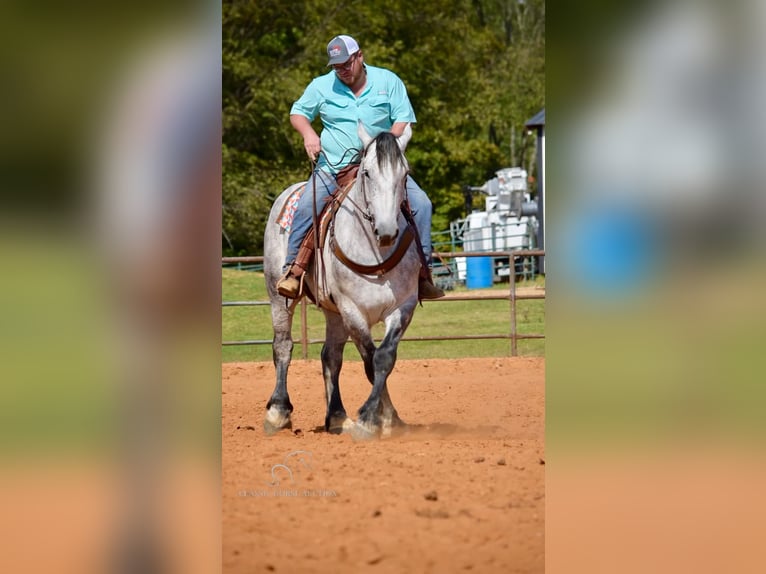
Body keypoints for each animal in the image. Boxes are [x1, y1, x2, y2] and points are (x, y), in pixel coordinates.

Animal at [262, 122, 420, 440]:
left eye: (405, 174)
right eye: (367, 172)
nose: (387, 231)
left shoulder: (402, 308)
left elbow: (384, 358)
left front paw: (389, 419)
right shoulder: (352, 310)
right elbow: (370, 360)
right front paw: (371, 419)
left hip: (333, 312)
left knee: (330, 355)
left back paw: (336, 416)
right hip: (279, 296)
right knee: (283, 346)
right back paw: (278, 412)